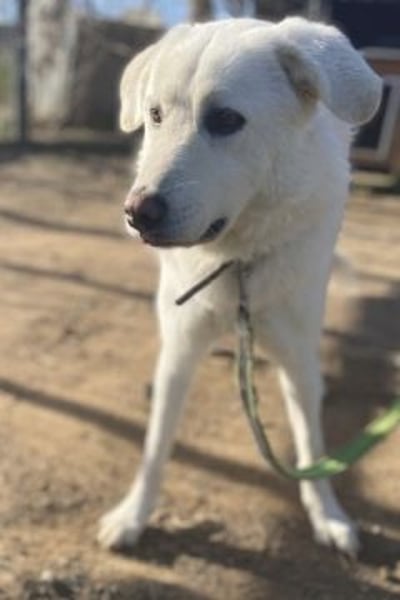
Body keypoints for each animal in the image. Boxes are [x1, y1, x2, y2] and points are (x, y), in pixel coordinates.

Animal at [98, 17, 381, 556]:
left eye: (227, 120)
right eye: (155, 115)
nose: (137, 213)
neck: (238, 263)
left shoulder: (296, 354)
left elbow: (312, 444)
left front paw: (328, 516)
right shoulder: (180, 348)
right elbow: (155, 445)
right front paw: (133, 515)